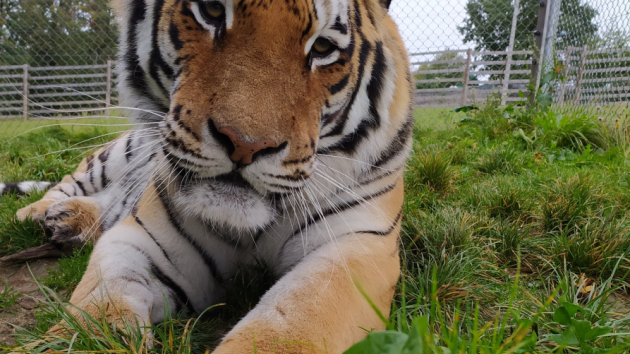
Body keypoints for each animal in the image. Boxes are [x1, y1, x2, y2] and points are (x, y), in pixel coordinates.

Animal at [7, 0, 418, 352]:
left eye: (322, 47)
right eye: (212, 11)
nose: (246, 145)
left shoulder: (357, 247)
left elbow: (288, 329)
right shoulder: (141, 240)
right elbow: (95, 313)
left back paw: (73, 222)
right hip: (120, 151)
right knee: (71, 183)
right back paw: (41, 214)